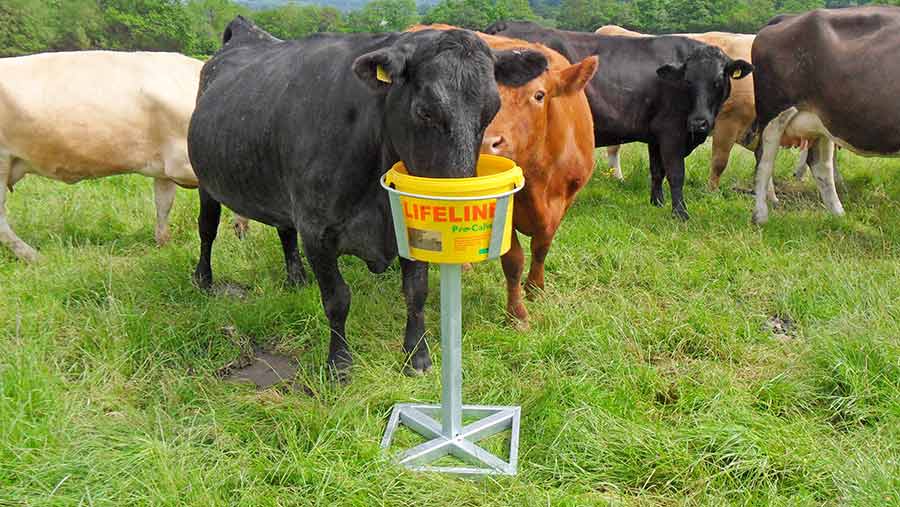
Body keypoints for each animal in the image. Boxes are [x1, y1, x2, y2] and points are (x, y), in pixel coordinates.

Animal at [0, 51, 246, 262]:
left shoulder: (165, 169)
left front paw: (164, 244)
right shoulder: (185, 164)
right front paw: (242, 228)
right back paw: (33, 256)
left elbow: (163, 204)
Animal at [188, 15, 548, 380]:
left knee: (284, 229)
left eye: (492, 110)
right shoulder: (316, 232)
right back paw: (203, 280)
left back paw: (296, 278)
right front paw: (339, 363)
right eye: (425, 112)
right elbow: (337, 299)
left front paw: (417, 355)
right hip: (205, 184)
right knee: (207, 229)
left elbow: (416, 292)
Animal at [410, 23, 596, 326]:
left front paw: (536, 289)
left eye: (539, 95)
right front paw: (517, 314)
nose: (487, 142)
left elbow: (542, 247)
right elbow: (514, 260)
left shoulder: (567, 200)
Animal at [752, 5, 900, 224]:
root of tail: (787, 18)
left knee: (821, 166)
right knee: (764, 158)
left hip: (820, 121)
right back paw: (760, 215)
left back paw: (839, 216)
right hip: (774, 114)